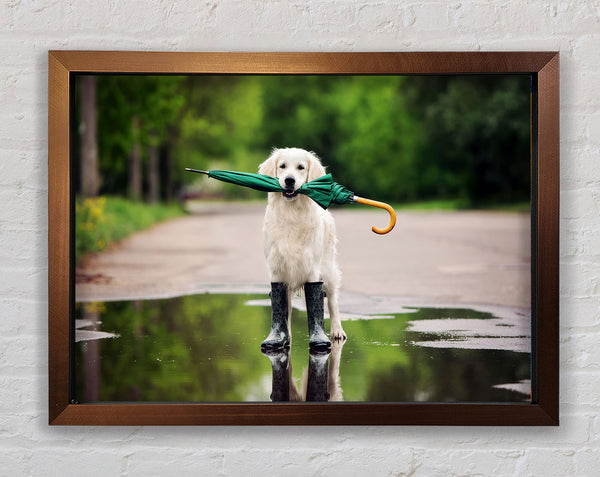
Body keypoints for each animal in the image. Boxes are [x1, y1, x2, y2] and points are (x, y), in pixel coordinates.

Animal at [258, 147, 346, 340]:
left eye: (301, 167)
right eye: (282, 166)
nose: (289, 180)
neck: (292, 213)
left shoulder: (312, 268)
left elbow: (317, 301)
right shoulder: (277, 268)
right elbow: (282, 308)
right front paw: (281, 337)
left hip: (328, 269)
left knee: (333, 301)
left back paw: (337, 330)